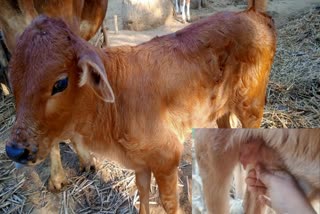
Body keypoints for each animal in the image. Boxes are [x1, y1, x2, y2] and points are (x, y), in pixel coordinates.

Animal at [5, 0, 276, 211]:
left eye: (60, 83)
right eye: (11, 77)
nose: (15, 150)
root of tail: (252, 13)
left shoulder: (167, 157)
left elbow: (168, 203)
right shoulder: (140, 163)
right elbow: (143, 194)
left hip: (251, 107)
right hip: (221, 109)